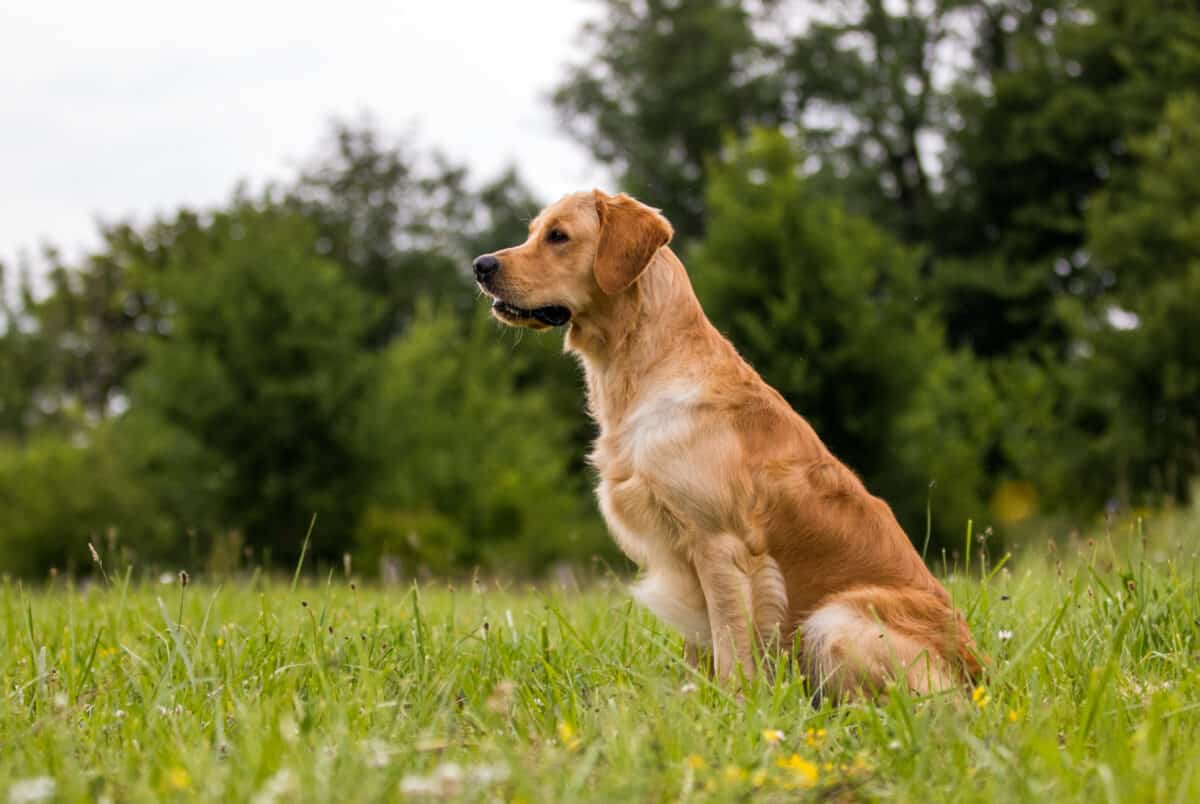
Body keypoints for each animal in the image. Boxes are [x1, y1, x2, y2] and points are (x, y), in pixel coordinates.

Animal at [472, 189, 979, 700]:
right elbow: (702, 647)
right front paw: (694, 699)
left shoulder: (719, 543)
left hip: (833, 620)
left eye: (558, 236)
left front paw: (736, 703)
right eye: (533, 232)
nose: (480, 265)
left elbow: (731, 639)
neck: (642, 369)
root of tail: (980, 675)